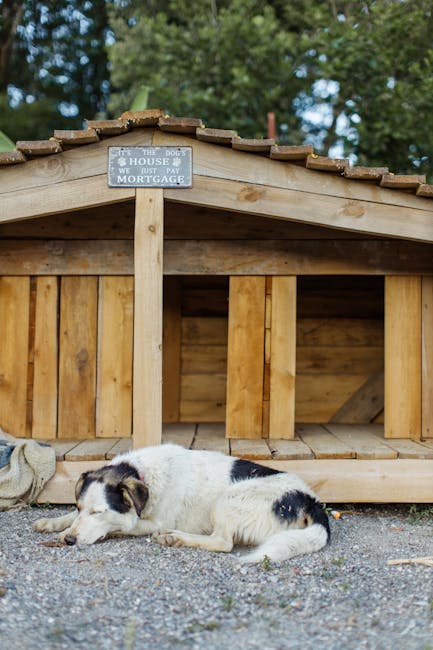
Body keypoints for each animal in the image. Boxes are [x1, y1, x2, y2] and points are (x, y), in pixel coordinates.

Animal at [33, 442, 330, 560]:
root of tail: (311, 500)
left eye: (99, 512)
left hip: (228, 498)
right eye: (81, 507)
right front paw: (52, 523)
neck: (143, 474)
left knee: (222, 542)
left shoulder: (152, 521)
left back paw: (175, 537)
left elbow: (125, 525)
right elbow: (69, 518)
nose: (69, 541)